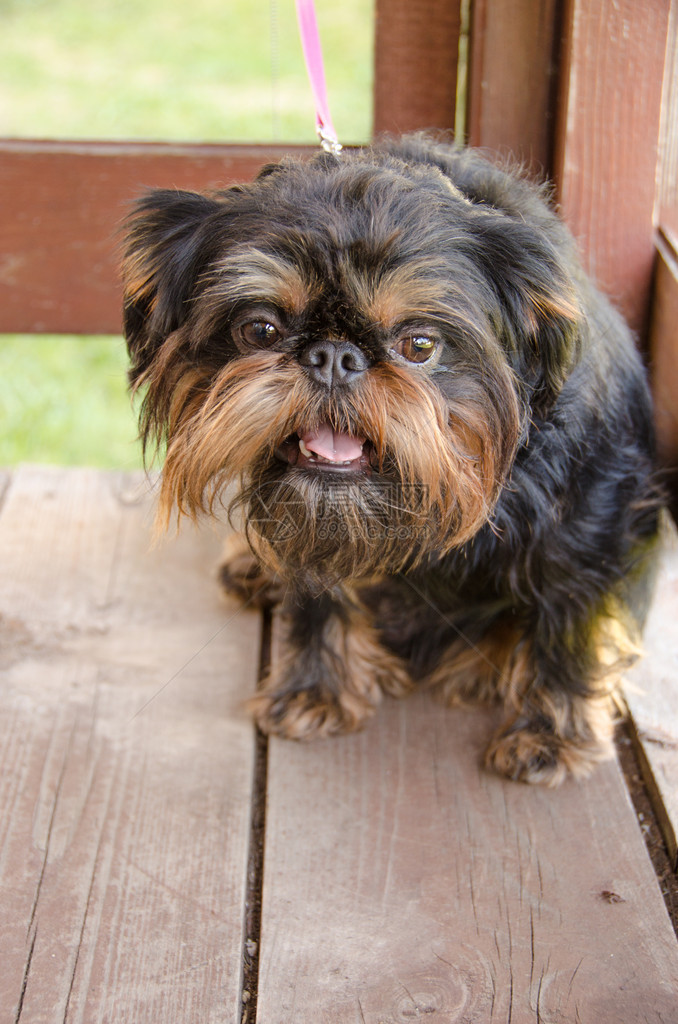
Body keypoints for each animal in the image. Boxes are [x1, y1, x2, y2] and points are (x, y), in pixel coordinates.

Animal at [122, 136, 663, 786]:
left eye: (419, 345)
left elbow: (569, 615)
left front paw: (551, 731)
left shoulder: (588, 518)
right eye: (260, 329)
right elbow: (319, 588)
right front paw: (319, 686)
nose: (333, 356)